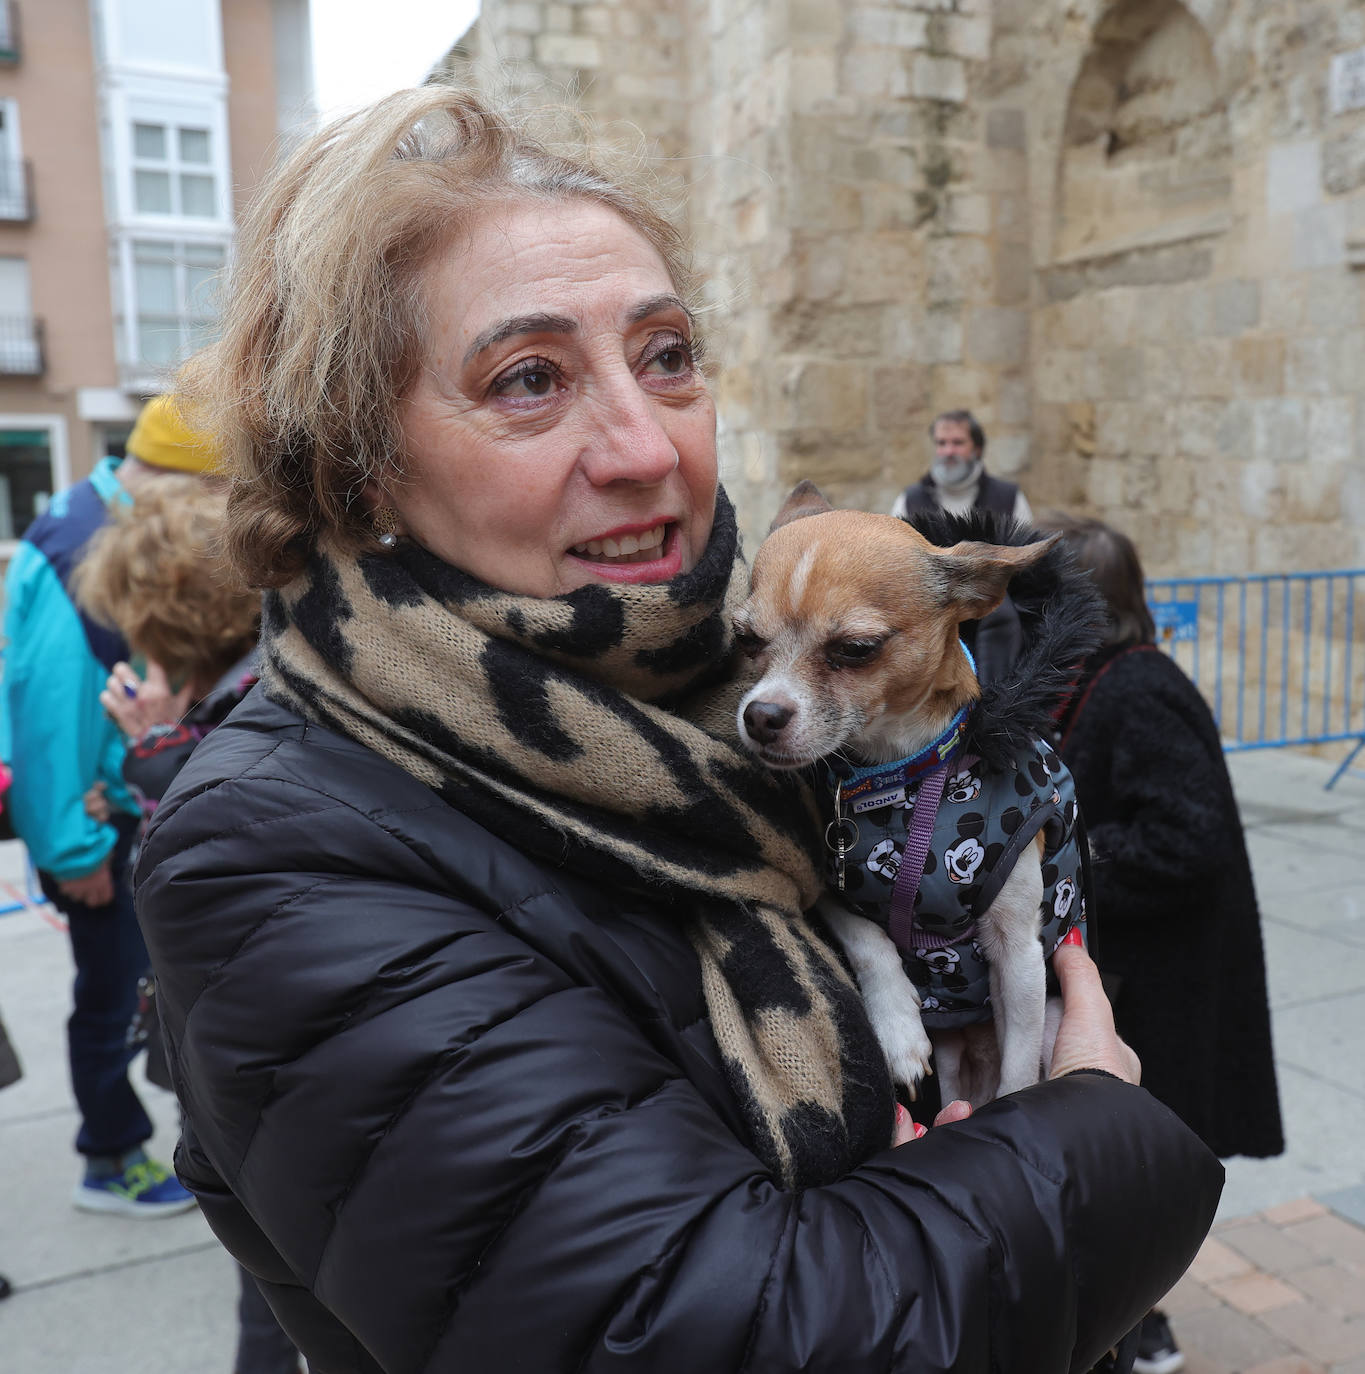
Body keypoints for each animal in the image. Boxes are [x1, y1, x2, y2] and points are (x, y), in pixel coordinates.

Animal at [736, 480, 1088, 1104]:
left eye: (855, 648)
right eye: (747, 639)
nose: (761, 714)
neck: (900, 781)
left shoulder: (1019, 958)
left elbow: (1019, 1076)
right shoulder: (833, 885)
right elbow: (867, 937)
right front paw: (898, 1029)